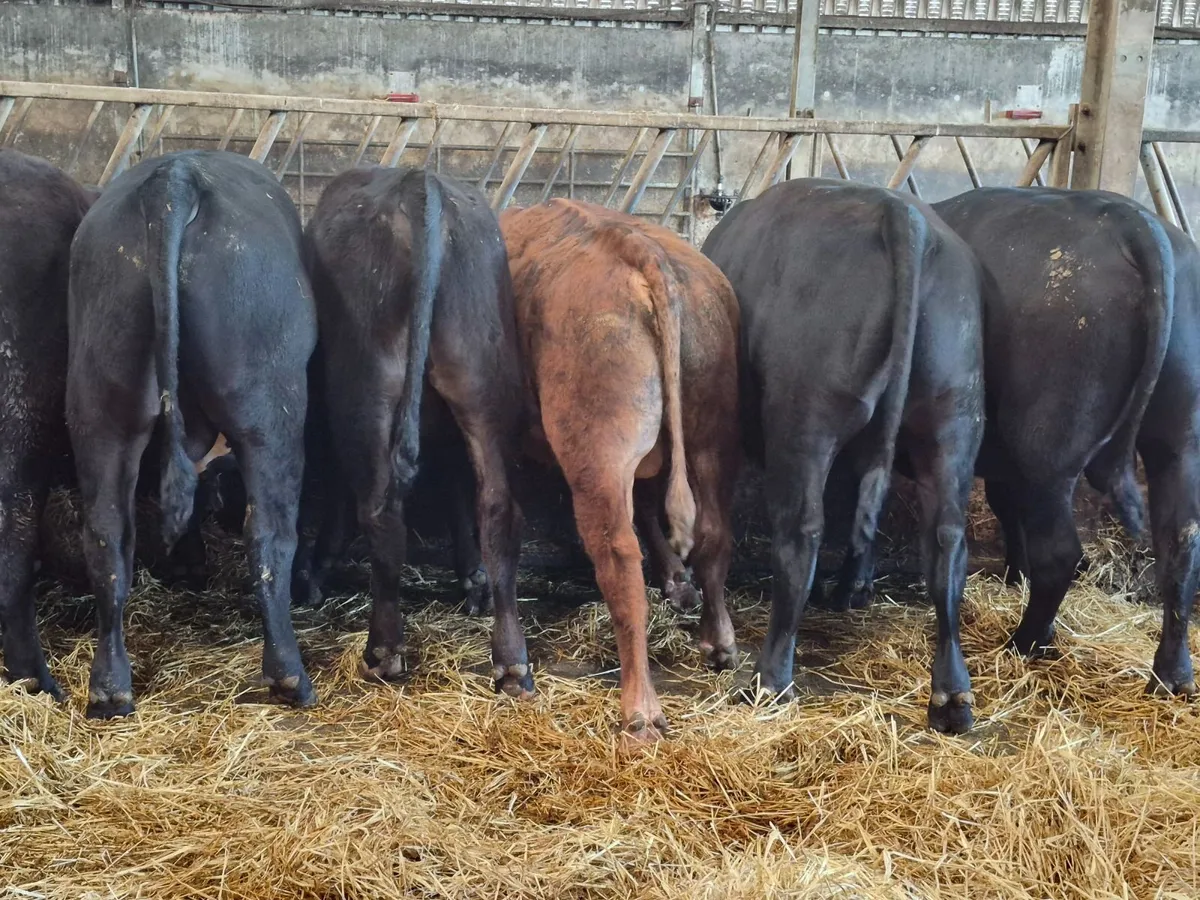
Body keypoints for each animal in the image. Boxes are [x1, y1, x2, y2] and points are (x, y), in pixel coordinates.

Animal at [67, 150, 317, 718]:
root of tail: (174, 179)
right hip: (269, 407)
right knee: (268, 534)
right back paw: (289, 675)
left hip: (101, 408)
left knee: (107, 536)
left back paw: (110, 688)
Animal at [296, 167, 530, 694]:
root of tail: (419, 183)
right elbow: (456, 487)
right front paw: (472, 578)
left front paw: (317, 568)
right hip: (482, 380)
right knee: (497, 505)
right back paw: (511, 661)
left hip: (366, 390)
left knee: (381, 510)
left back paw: (383, 650)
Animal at [500, 199, 741, 743]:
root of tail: (636, 247)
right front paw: (677, 581)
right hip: (709, 433)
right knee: (712, 531)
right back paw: (718, 641)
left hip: (600, 451)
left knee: (619, 560)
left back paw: (640, 710)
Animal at [702, 179, 985, 734]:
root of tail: (901, 216)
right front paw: (853, 588)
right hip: (953, 421)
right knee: (944, 539)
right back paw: (951, 696)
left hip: (804, 422)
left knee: (801, 533)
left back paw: (770, 680)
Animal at [928, 187, 1196, 698]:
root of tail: (1131, 222)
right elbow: (1006, 507)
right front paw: (1014, 574)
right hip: (1179, 441)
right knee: (1180, 545)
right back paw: (1172, 674)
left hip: (1047, 446)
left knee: (1061, 553)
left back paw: (1025, 642)